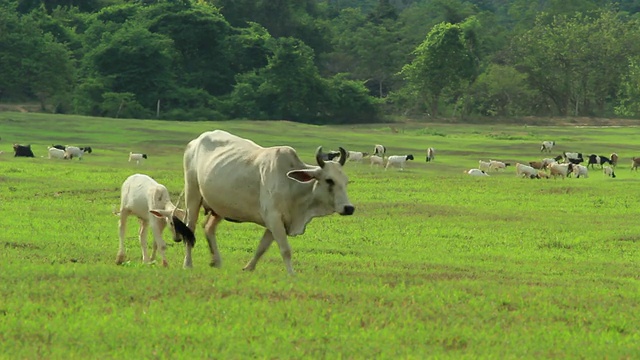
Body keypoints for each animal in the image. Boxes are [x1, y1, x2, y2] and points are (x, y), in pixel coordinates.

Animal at [179, 131, 356, 274]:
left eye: (345, 181)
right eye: (329, 180)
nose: (349, 208)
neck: (291, 184)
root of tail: (195, 141)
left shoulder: (277, 222)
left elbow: (262, 247)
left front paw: (248, 268)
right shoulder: (273, 218)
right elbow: (285, 249)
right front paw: (292, 274)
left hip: (220, 208)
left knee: (208, 228)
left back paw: (217, 261)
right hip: (192, 195)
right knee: (190, 229)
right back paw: (187, 264)